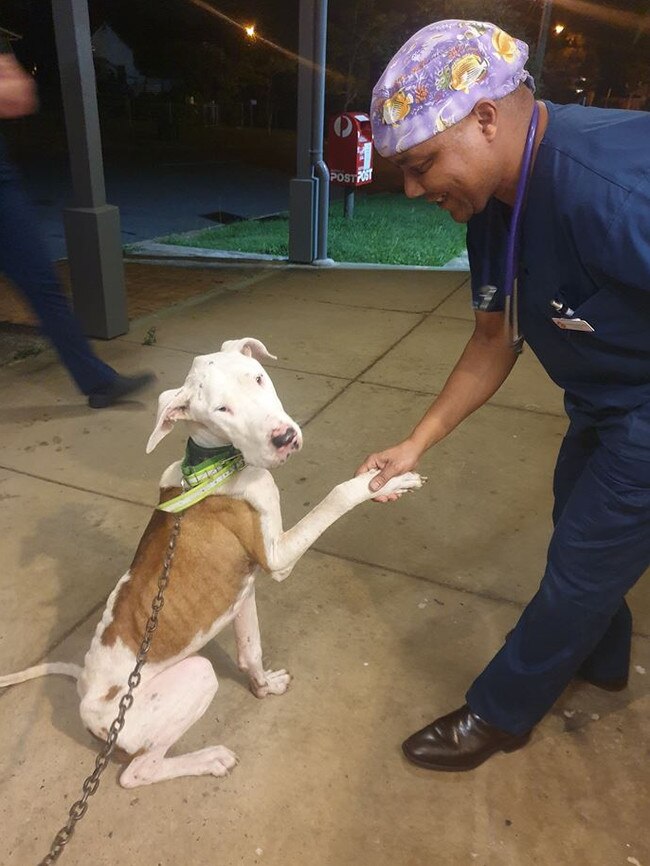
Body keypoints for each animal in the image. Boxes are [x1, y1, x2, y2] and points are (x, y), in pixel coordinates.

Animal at [0, 340, 422, 788]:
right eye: (221, 410)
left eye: (258, 377)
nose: (284, 437)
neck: (212, 463)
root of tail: (84, 693)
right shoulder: (277, 558)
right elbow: (339, 494)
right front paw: (388, 479)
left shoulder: (243, 595)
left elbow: (251, 650)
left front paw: (263, 687)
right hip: (193, 677)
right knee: (137, 771)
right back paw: (209, 759)